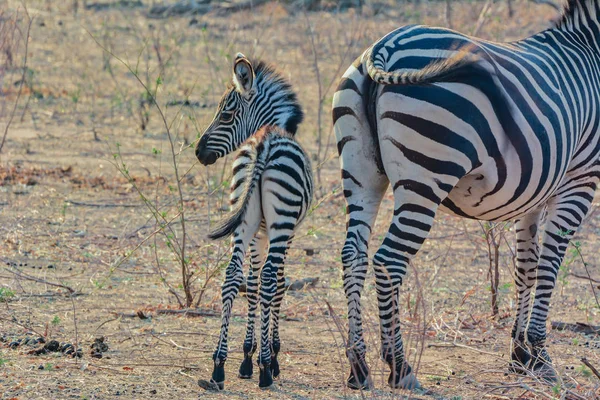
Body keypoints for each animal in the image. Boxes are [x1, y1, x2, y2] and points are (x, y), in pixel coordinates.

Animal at [196, 54, 314, 390]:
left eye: (226, 114)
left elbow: (252, 283)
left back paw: (219, 365)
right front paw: (270, 357)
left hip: (244, 220)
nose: (197, 152)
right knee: (272, 278)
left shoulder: (258, 233)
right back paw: (264, 370)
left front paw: (246, 356)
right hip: (281, 223)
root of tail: (263, 143)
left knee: (232, 276)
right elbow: (276, 285)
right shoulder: (285, 233)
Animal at [332, 0, 600, 390]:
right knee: (388, 261)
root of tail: (383, 47)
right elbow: (549, 266)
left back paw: (359, 367)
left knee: (353, 256)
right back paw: (400, 367)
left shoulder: (536, 192)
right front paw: (540, 356)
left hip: (360, 172)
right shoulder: (580, 179)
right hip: (426, 175)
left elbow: (526, 265)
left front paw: (520, 356)